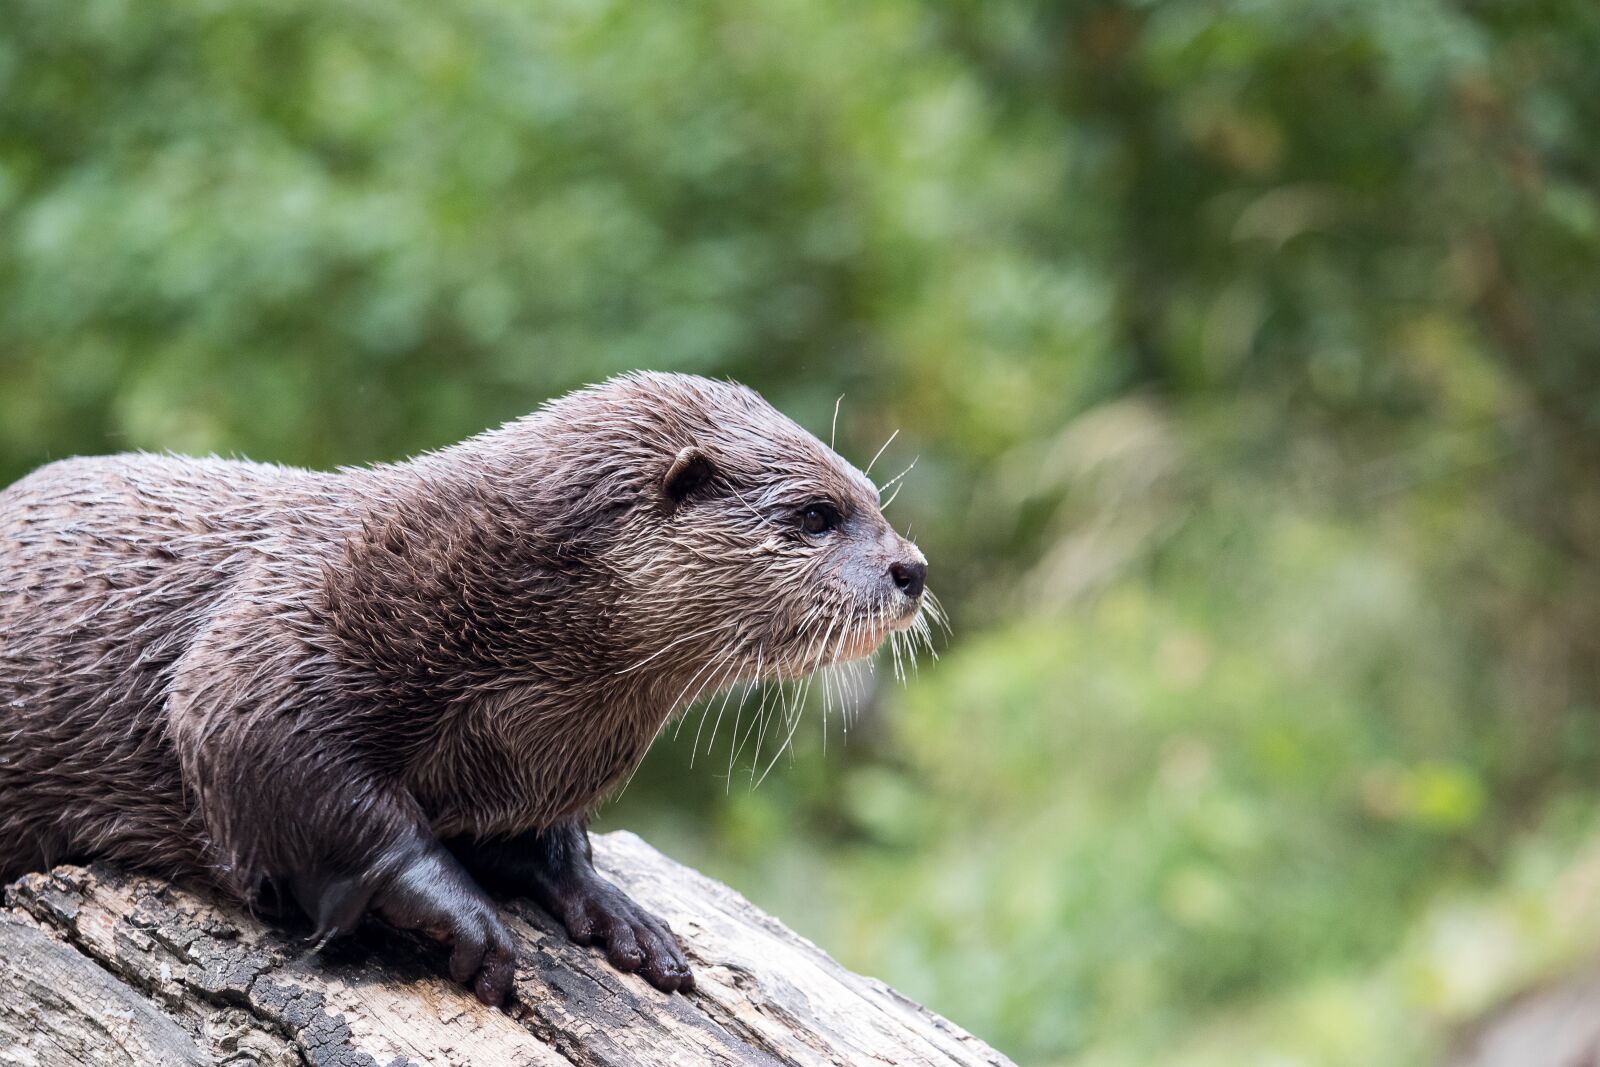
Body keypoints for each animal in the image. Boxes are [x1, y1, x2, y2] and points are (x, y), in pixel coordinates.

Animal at [0, 372, 929, 1006]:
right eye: (816, 515)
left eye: (874, 499)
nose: (912, 567)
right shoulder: (271, 647)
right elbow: (278, 760)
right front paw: (462, 912)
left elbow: (541, 840)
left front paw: (613, 907)